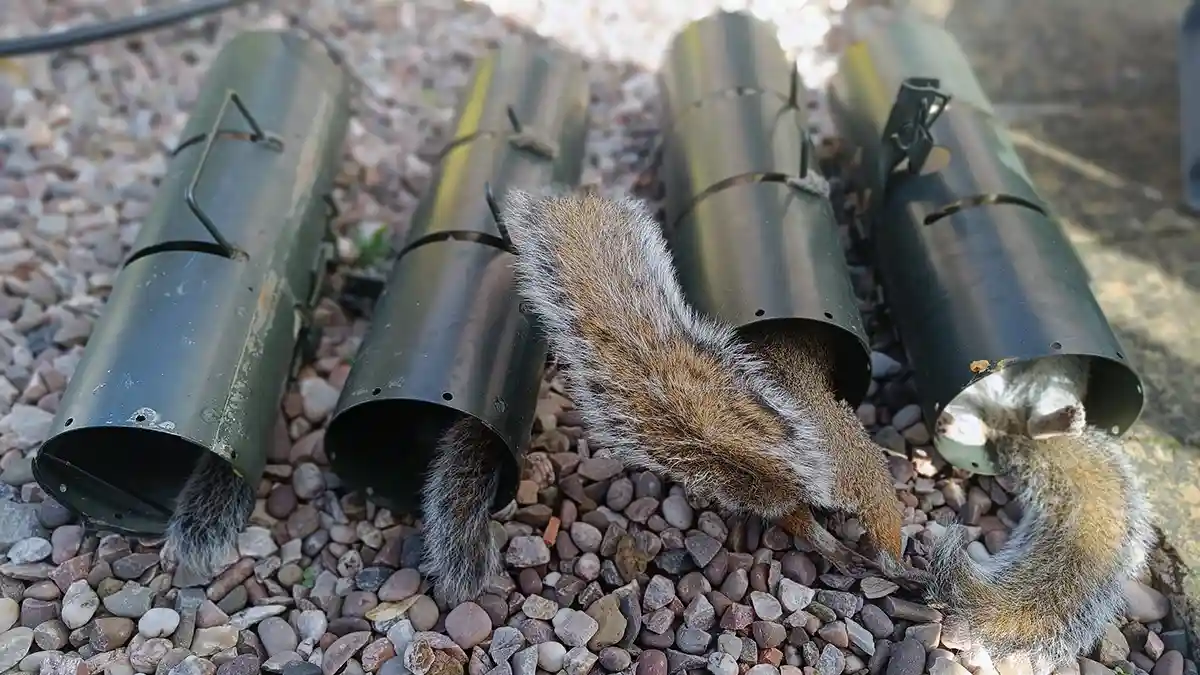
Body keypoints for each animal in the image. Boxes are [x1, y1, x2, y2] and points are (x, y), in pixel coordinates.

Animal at [926, 355, 1152, 667]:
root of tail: (1010, 419)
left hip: (1057, 380)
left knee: (1028, 421)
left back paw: (1061, 420)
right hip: (980, 402)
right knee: (986, 425)